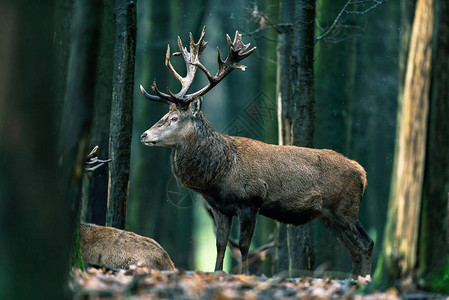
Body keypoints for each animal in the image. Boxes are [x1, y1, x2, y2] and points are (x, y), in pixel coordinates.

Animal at [139, 27, 372, 276]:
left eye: (174, 118)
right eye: (165, 114)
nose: (144, 135)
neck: (221, 173)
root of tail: (362, 173)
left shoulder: (251, 200)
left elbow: (244, 245)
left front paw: (245, 275)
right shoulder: (221, 208)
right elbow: (220, 245)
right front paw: (218, 272)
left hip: (344, 209)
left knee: (365, 244)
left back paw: (363, 279)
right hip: (330, 216)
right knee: (358, 247)